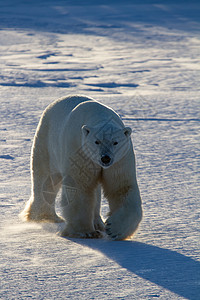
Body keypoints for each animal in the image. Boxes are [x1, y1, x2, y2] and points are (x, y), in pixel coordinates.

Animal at [21, 95, 141, 240]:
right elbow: (79, 187)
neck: (98, 114)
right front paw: (85, 232)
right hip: (47, 142)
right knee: (45, 180)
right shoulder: (80, 150)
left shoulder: (120, 160)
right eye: (96, 142)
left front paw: (114, 229)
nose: (105, 158)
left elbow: (121, 188)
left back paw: (98, 223)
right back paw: (45, 216)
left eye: (115, 142)